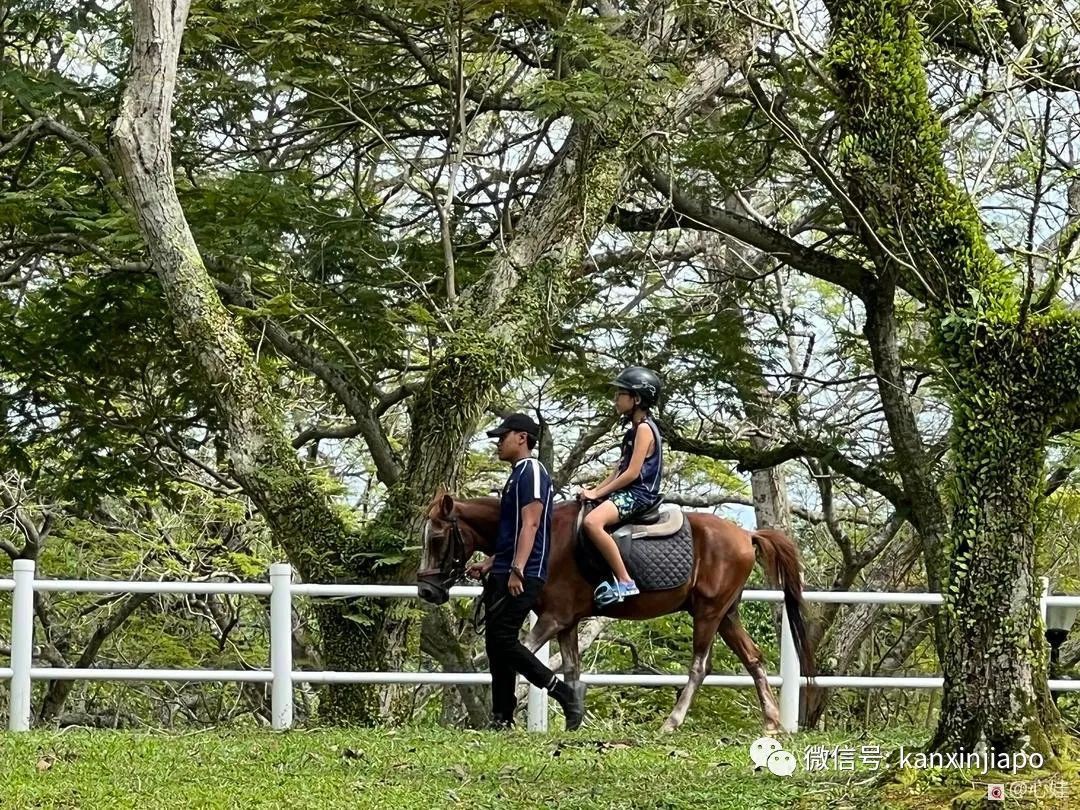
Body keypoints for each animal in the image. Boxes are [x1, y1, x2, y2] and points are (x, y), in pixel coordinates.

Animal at [416, 492, 812, 734]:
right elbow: (570, 667)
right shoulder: (566, 622)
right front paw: (573, 715)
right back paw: (772, 721)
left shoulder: (553, 618)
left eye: (436, 539)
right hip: (727, 614)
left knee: (700, 666)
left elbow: (519, 655)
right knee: (754, 658)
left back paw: (672, 721)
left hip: (708, 613)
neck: (540, 539)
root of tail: (747, 535)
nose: (426, 590)